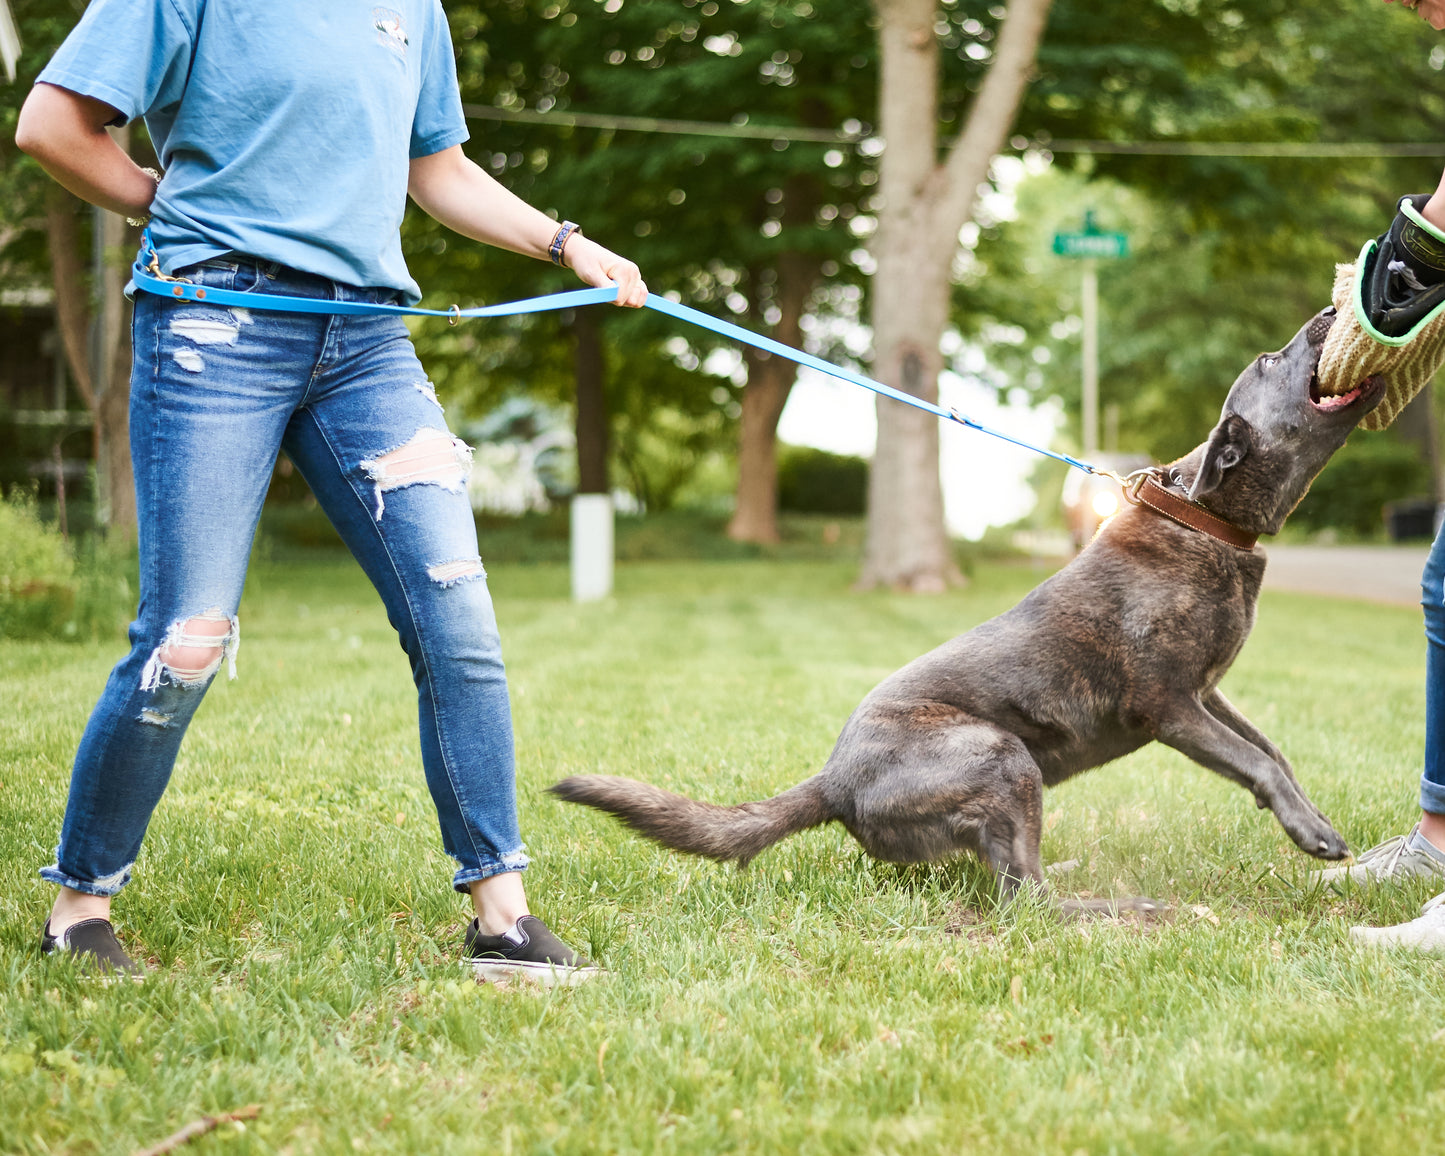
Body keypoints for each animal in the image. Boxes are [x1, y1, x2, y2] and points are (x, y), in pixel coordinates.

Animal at [549, 309, 1375, 901]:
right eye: (1267, 362)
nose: (1325, 312)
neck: (1203, 522)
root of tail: (832, 782)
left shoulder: (1209, 695)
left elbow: (1270, 752)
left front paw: (1307, 817)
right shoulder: (1167, 705)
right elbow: (1252, 760)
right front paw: (1310, 834)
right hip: (1001, 756)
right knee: (1024, 900)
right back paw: (1122, 910)